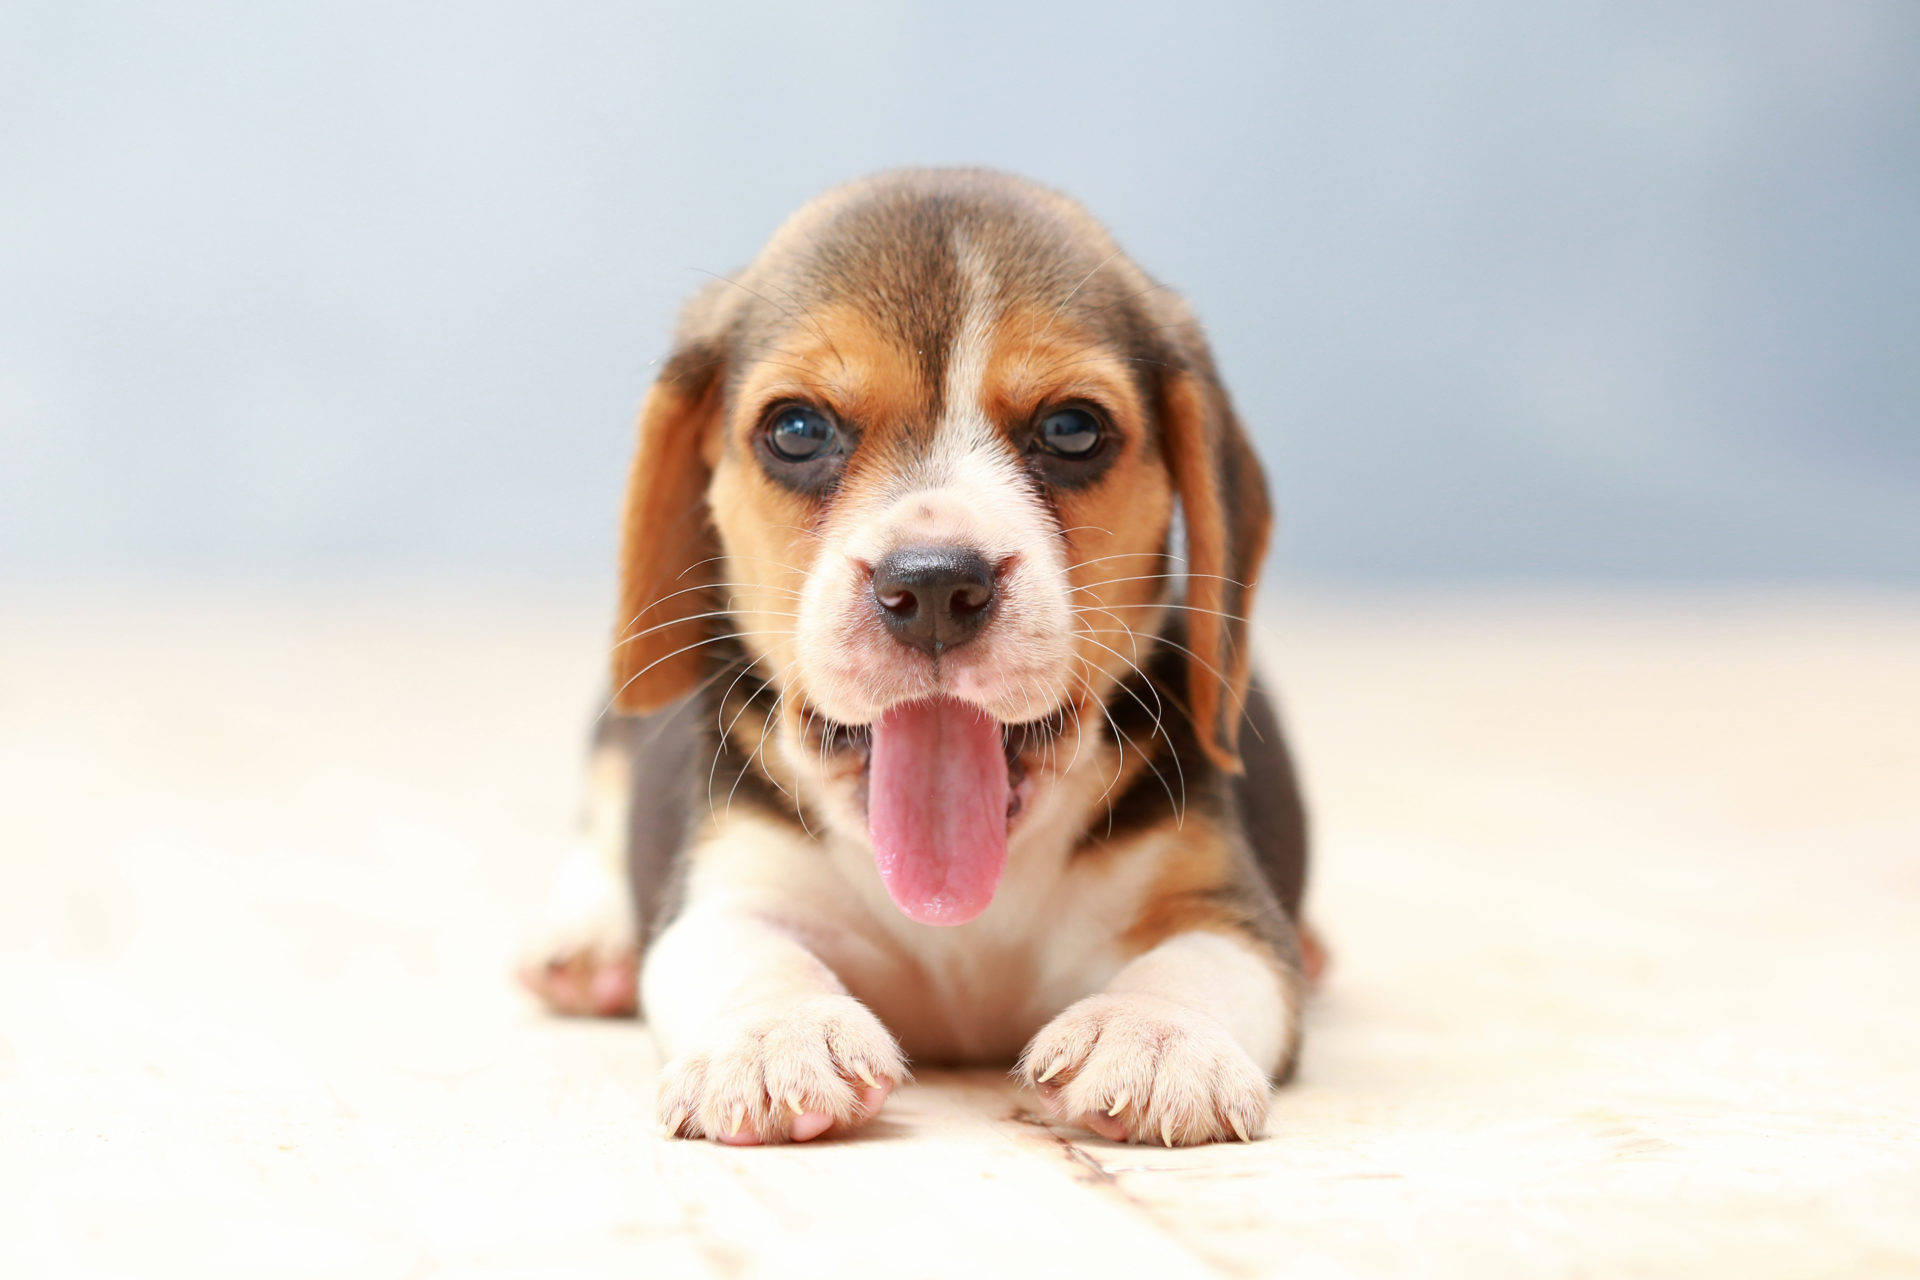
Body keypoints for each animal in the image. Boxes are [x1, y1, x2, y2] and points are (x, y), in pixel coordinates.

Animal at [518, 169, 1313, 1151]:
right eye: (796, 429)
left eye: (1073, 429)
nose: (934, 585)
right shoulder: (729, 882)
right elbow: (746, 950)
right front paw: (776, 1034)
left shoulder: (1224, 903)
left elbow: (1204, 961)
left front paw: (1155, 1035)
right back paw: (586, 941)